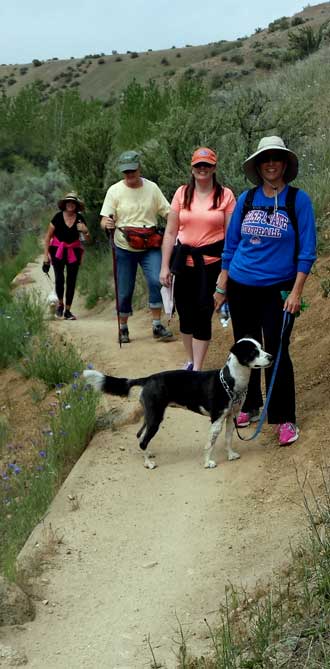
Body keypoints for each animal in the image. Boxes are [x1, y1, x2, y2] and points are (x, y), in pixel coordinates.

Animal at [83, 340, 274, 470]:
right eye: (253, 352)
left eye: (261, 347)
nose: (271, 357)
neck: (231, 380)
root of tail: (148, 379)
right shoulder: (216, 420)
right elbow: (210, 444)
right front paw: (207, 463)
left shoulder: (231, 417)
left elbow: (228, 439)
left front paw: (231, 455)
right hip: (155, 418)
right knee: (143, 440)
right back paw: (149, 463)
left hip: (150, 415)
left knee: (139, 435)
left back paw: (148, 455)